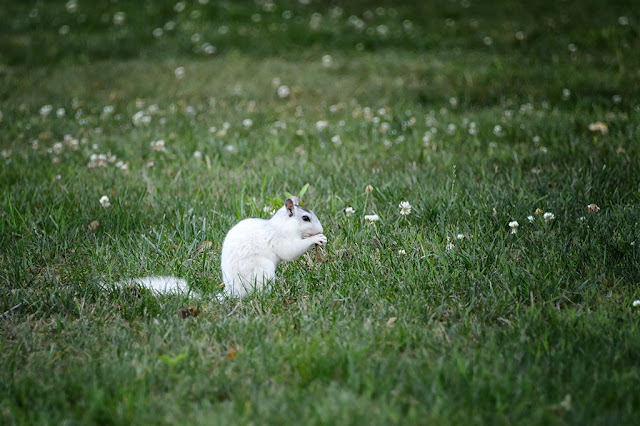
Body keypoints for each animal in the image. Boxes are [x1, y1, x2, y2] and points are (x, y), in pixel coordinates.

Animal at [110, 196, 328, 298]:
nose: (321, 228)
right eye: (305, 218)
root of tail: (232, 292)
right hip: (263, 272)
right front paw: (316, 239)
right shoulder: (281, 239)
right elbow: (290, 251)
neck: (284, 224)